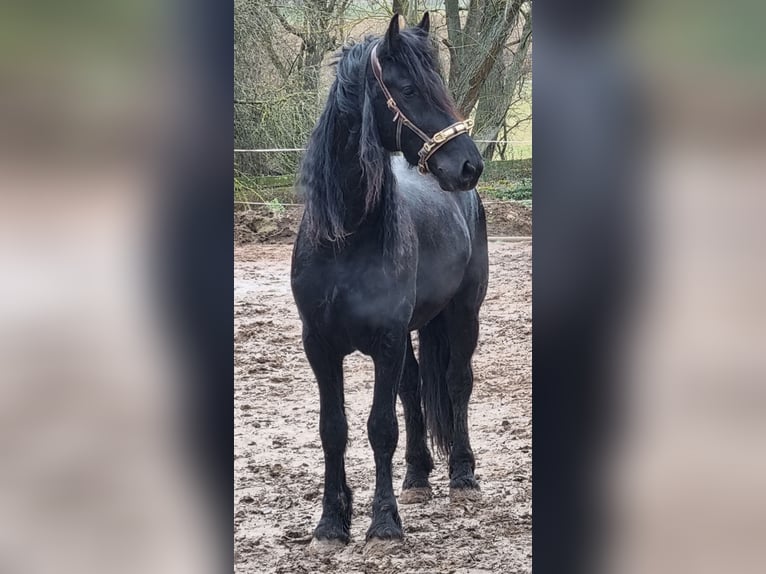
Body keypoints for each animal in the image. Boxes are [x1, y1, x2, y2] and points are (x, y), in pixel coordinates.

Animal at [292, 12, 488, 544]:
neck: (345, 238)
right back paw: (417, 476)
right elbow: (332, 428)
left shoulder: (385, 340)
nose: (470, 164)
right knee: (415, 389)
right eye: (408, 88)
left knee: (457, 382)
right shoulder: (320, 345)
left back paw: (462, 475)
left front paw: (382, 524)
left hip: (463, 312)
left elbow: (381, 427)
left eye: (439, 83)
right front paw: (330, 523)